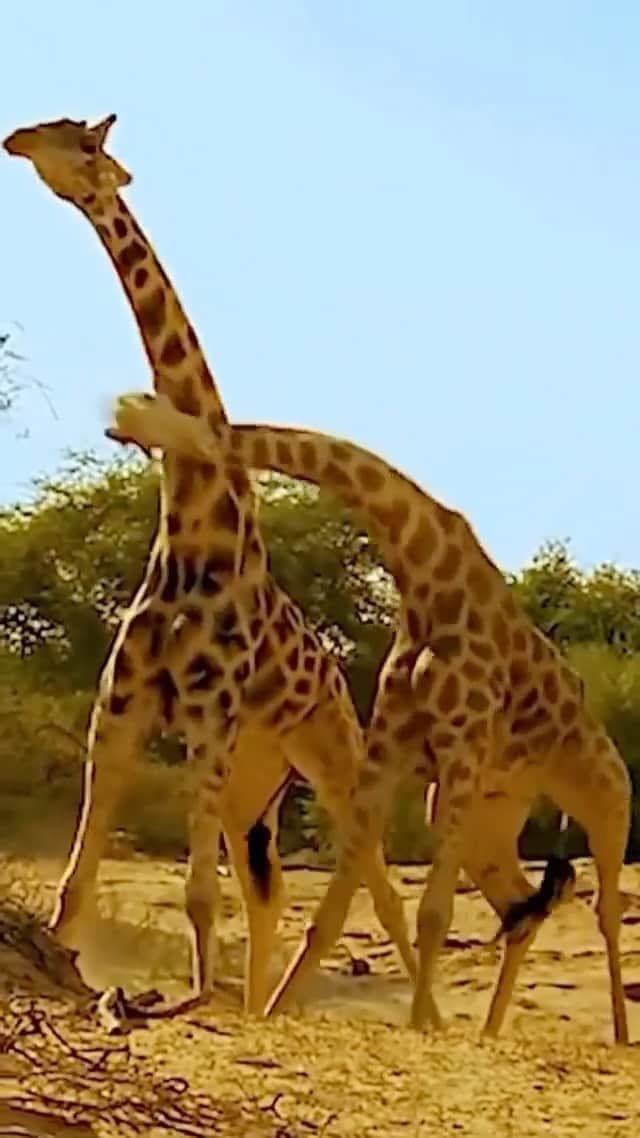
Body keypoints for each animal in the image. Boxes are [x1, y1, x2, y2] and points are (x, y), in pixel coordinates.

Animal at [2, 115, 417, 1013]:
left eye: (82, 141)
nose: (19, 139)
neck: (192, 526)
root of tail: (341, 680)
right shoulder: (120, 707)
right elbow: (76, 887)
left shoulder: (206, 714)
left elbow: (196, 894)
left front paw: (193, 1005)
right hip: (254, 784)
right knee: (268, 888)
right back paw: (264, 1006)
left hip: (327, 756)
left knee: (374, 879)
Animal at [105, 393, 631, 1043]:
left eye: (146, 412)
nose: (117, 421)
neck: (425, 578)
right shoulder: (388, 747)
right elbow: (332, 911)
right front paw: (276, 1010)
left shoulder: (460, 744)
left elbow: (434, 912)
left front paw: (420, 1025)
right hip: (487, 818)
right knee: (524, 906)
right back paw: (489, 1031)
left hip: (605, 801)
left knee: (606, 906)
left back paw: (619, 1036)